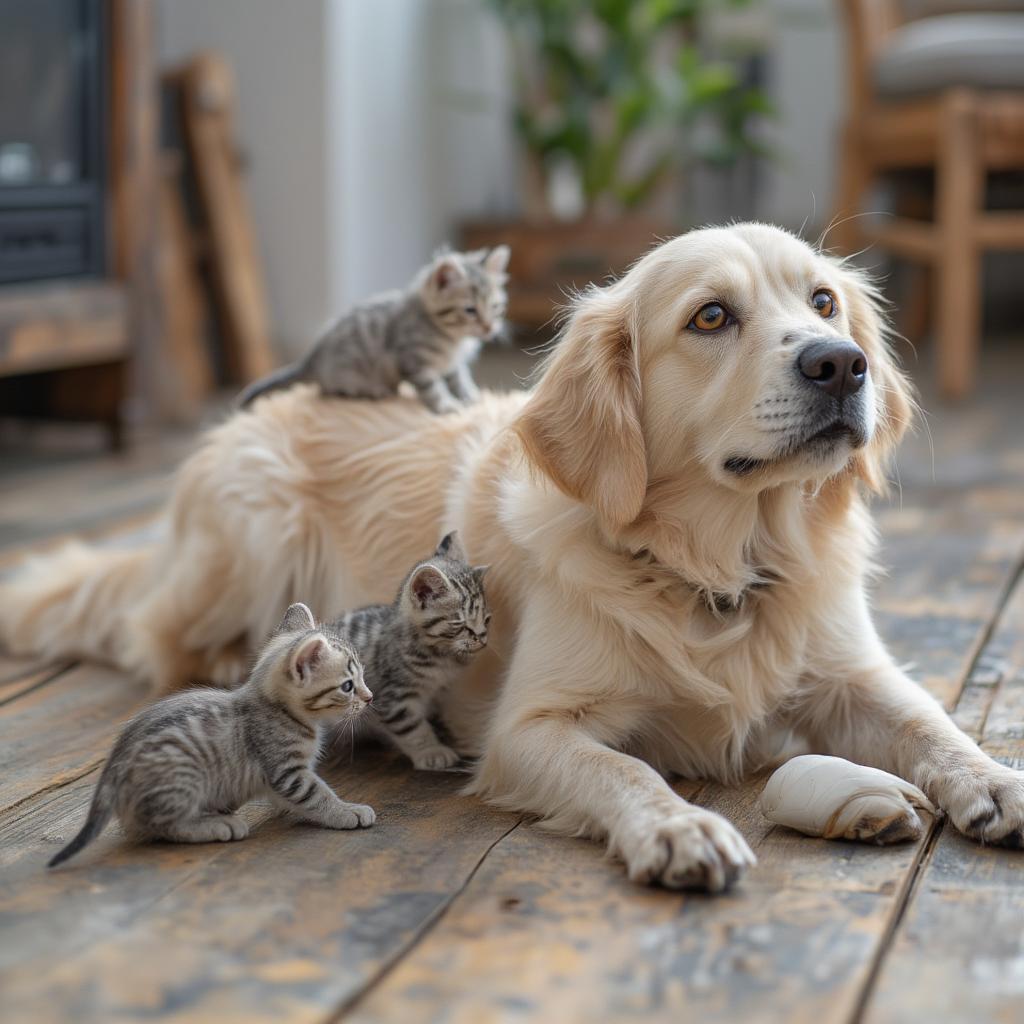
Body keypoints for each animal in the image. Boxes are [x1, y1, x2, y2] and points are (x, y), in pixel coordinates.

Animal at [47, 602, 376, 868]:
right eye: (348, 686)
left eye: (361, 678)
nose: (370, 697)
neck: (281, 710)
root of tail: (113, 768)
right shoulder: (287, 772)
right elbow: (318, 795)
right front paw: (347, 811)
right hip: (182, 778)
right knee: (155, 826)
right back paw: (216, 825)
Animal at [239, 245, 512, 413]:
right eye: (470, 310)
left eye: (495, 307)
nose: (489, 328)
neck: (453, 340)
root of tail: (311, 359)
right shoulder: (414, 360)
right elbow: (432, 387)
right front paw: (446, 405)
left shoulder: (454, 363)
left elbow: (459, 377)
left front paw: (469, 395)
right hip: (346, 372)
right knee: (329, 390)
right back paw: (373, 390)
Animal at [327, 536, 487, 770]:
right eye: (461, 625)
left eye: (487, 619)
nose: (482, 638)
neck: (440, 657)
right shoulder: (394, 697)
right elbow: (412, 728)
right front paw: (432, 751)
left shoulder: (439, 692)